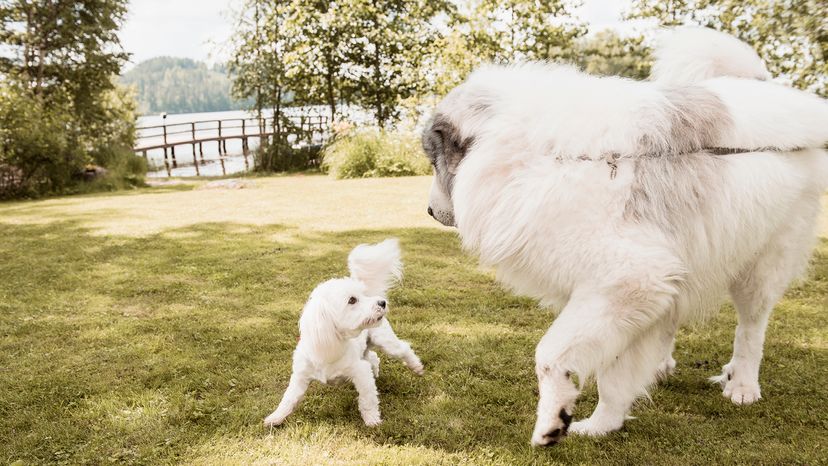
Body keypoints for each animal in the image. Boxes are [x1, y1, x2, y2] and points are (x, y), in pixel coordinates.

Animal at [264, 238, 424, 428]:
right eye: (352, 300)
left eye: (362, 295)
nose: (382, 302)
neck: (331, 345)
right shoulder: (300, 377)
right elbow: (288, 399)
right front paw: (275, 417)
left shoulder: (360, 372)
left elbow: (367, 399)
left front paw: (372, 419)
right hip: (366, 349)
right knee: (373, 357)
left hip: (386, 341)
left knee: (403, 349)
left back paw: (417, 367)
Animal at [424, 27, 828, 446]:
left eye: (433, 160)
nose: (429, 212)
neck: (538, 155)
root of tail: (765, 85)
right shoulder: (620, 293)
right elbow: (613, 374)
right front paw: (604, 423)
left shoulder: (626, 280)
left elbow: (551, 355)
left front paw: (553, 421)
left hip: (761, 263)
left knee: (751, 327)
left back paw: (743, 384)